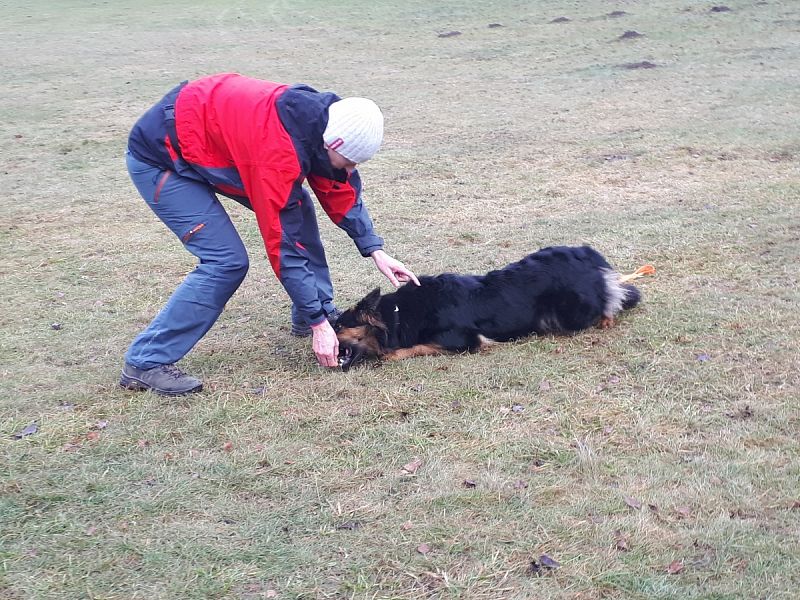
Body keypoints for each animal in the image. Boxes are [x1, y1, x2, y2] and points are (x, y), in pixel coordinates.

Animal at [336, 245, 644, 370]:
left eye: (338, 325)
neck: (398, 315)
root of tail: (587, 254)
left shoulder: (463, 340)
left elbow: (416, 347)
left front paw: (392, 354)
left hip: (570, 312)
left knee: (613, 298)